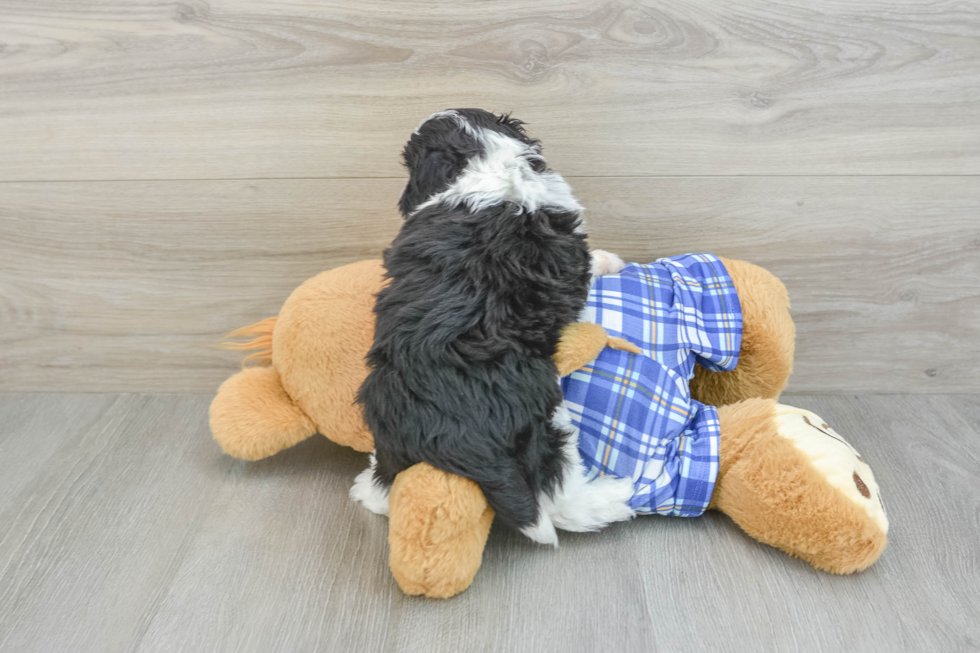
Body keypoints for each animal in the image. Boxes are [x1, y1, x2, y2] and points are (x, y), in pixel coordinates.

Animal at [354, 109, 636, 544]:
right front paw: (610, 261)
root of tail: (455, 435)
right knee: (559, 496)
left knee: (389, 482)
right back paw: (615, 495)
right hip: (545, 419)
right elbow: (591, 263)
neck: (486, 158)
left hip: (386, 422)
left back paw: (366, 489)